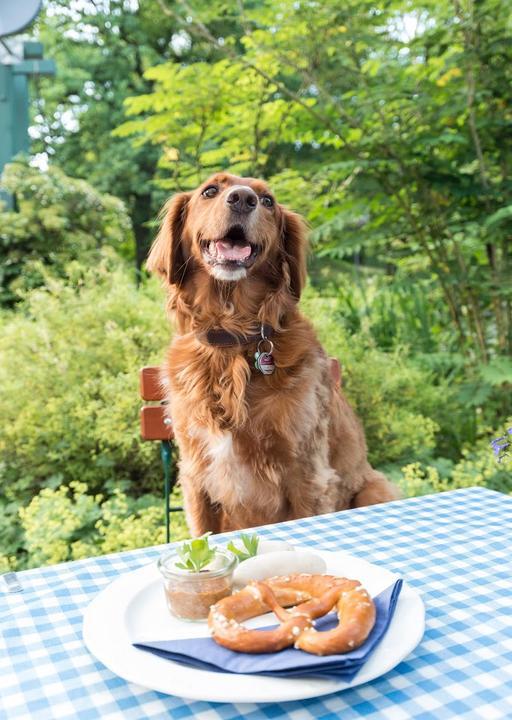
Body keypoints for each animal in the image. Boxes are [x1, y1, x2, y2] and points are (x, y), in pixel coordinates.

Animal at [146, 173, 398, 536]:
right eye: (210, 190)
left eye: (268, 201)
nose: (242, 199)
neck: (232, 339)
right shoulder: (196, 478)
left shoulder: (307, 475)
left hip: (375, 487)